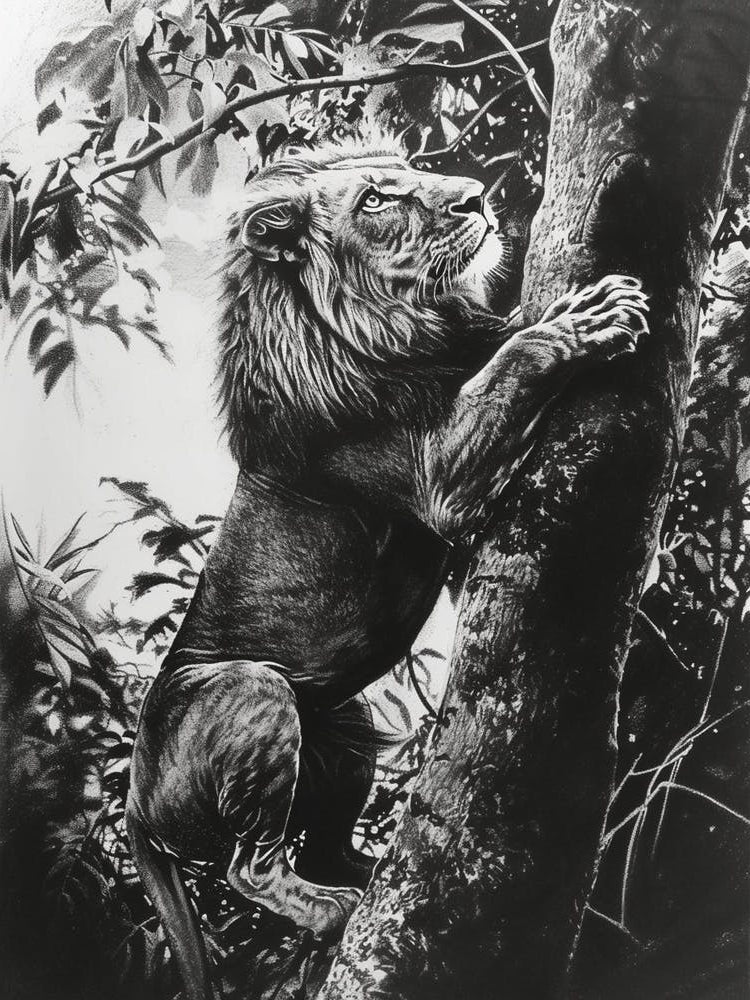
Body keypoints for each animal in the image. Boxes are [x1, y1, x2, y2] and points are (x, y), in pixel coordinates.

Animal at [125, 135, 648, 1000]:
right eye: (376, 198)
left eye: (413, 171)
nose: (475, 196)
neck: (401, 329)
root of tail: (134, 808)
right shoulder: (436, 478)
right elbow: (515, 356)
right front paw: (587, 318)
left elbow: (500, 343)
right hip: (249, 689)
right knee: (248, 867)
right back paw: (336, 911)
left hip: (345, 725)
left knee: (322, 841)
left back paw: (368, 873)